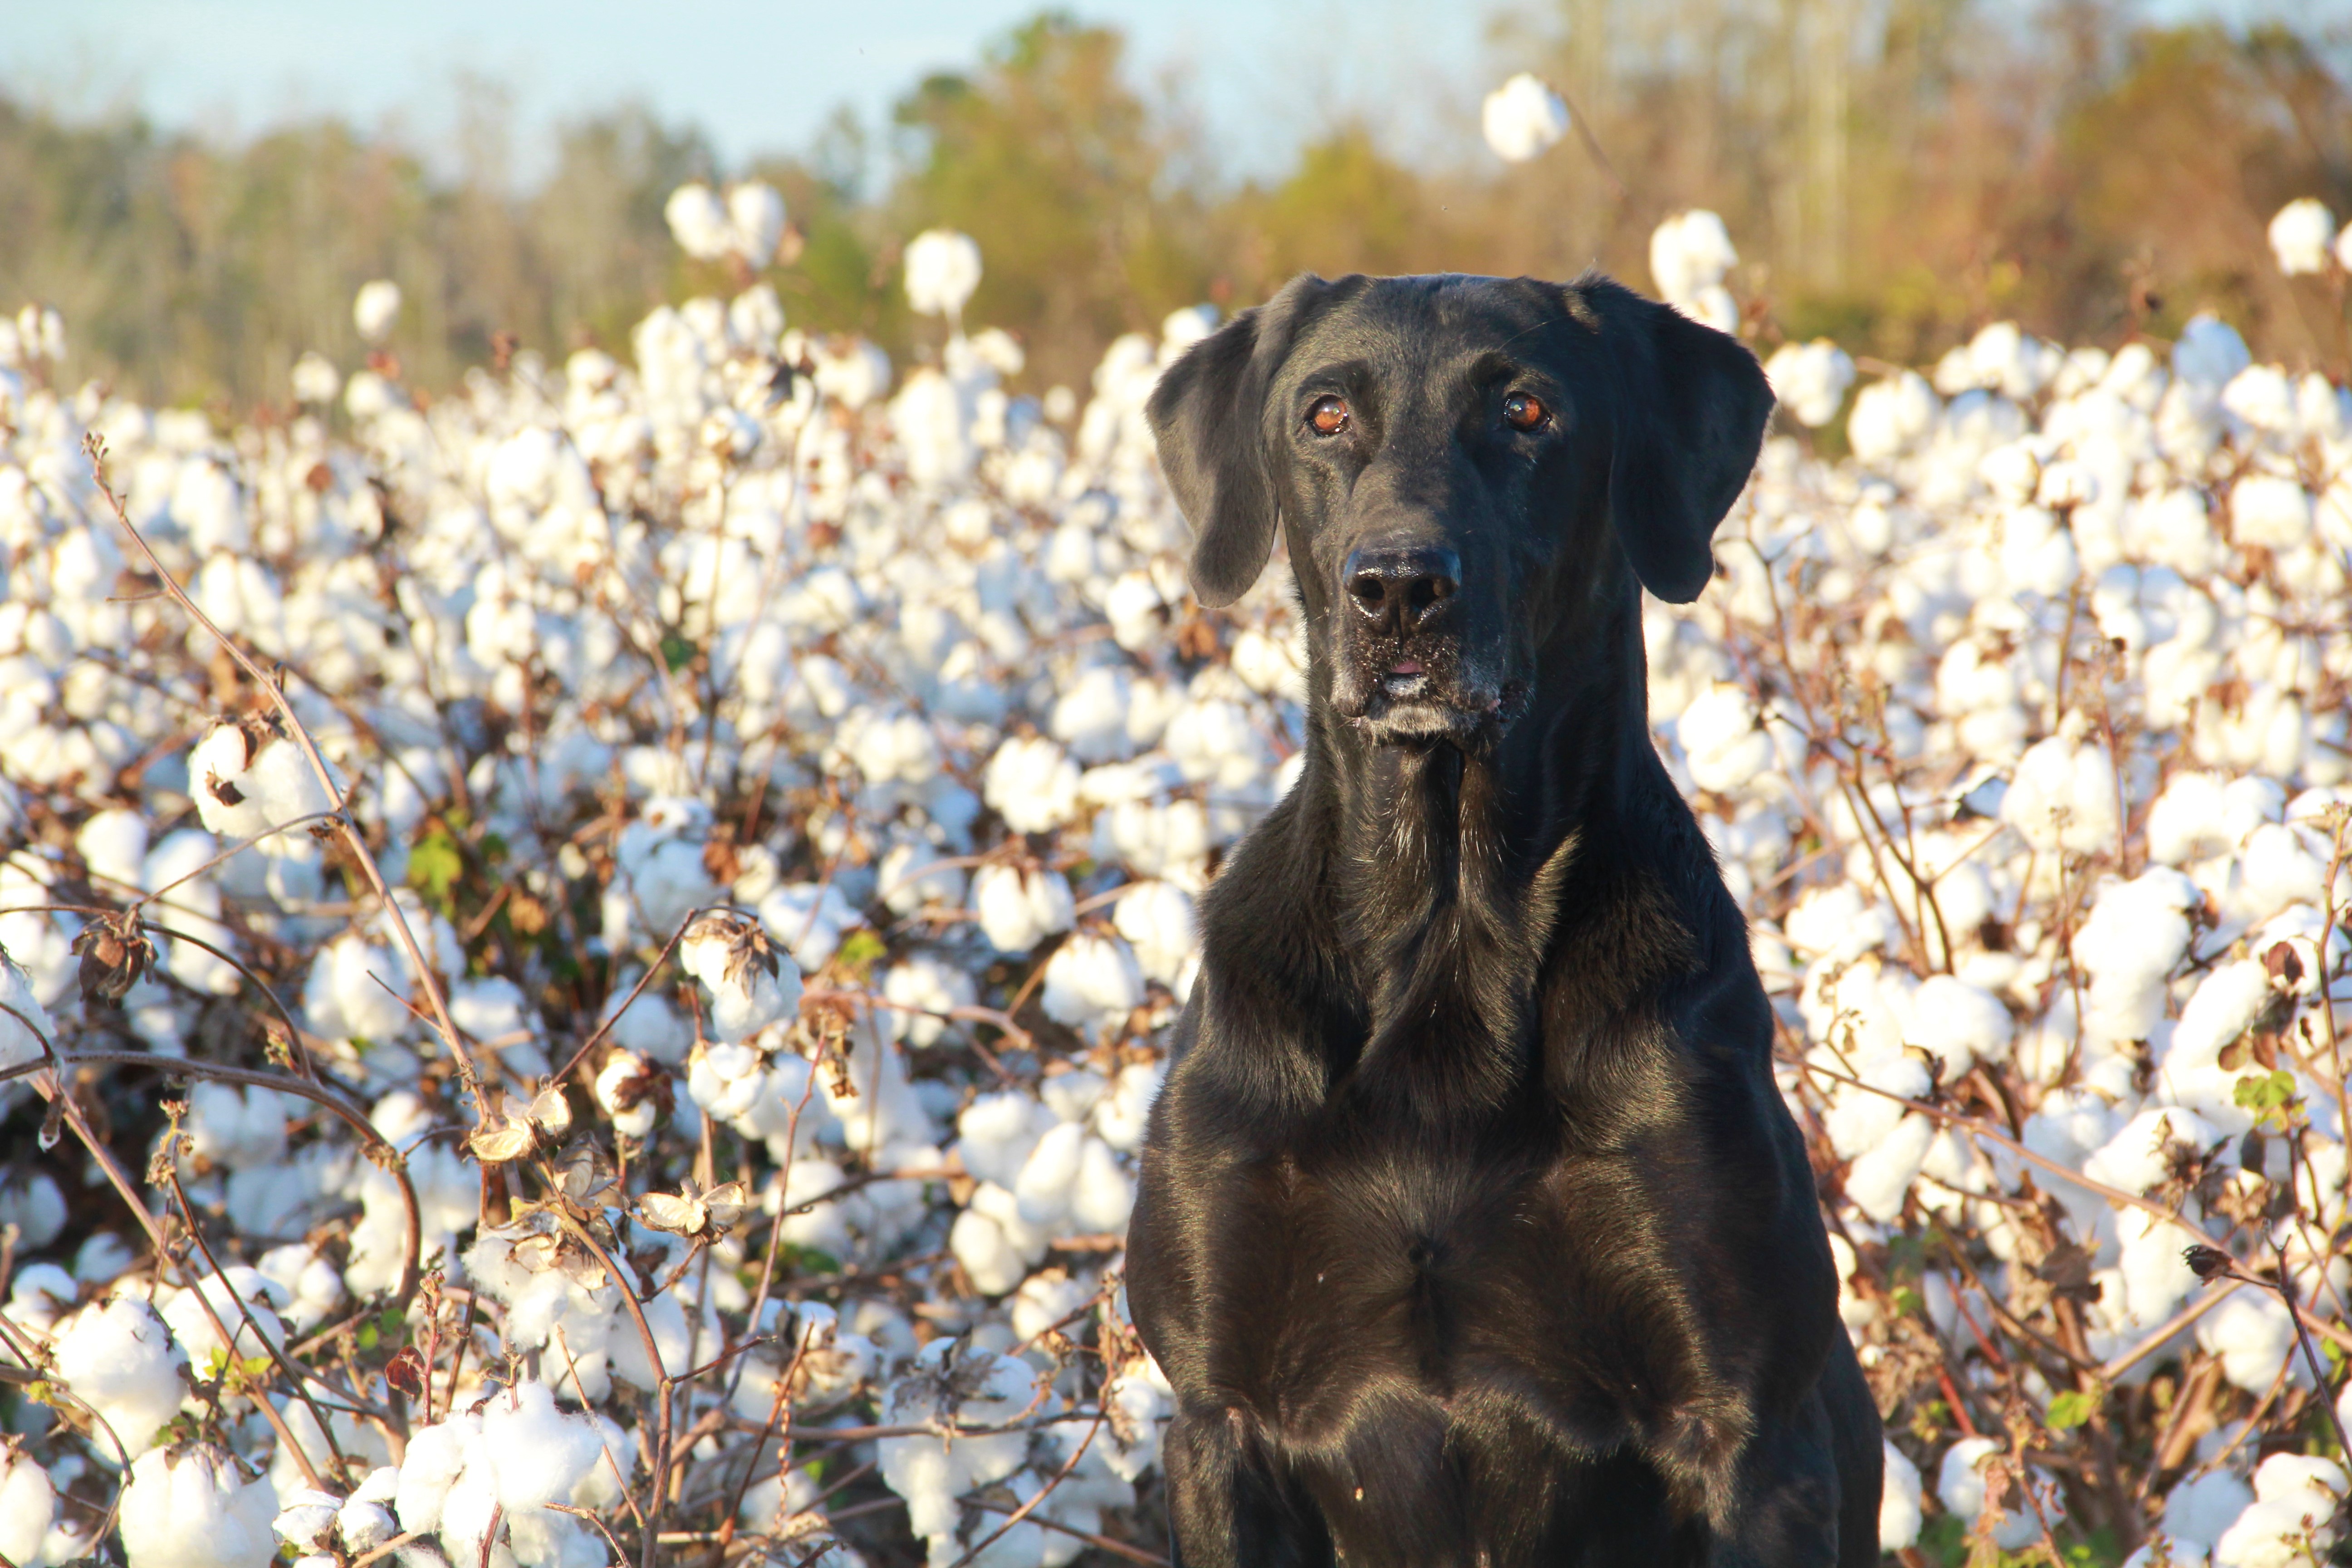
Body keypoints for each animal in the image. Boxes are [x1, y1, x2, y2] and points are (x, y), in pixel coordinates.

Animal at [1129, 276, 1882, 1561]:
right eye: (1325, 415)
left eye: (1526, 411)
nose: (1397, 588)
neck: (1447, 921)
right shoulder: (1217, 1423)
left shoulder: (1746, 1431)